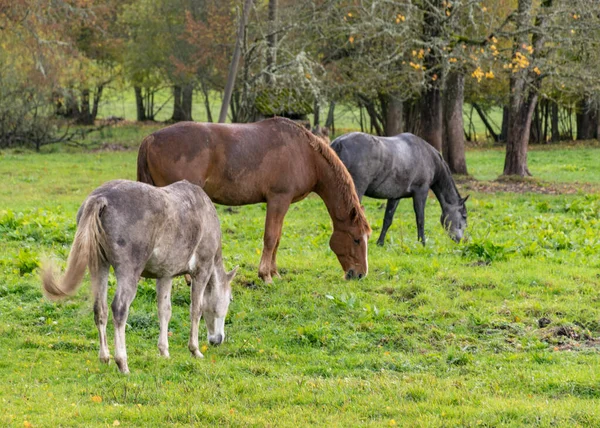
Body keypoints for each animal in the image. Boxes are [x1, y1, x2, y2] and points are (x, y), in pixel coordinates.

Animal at [39, 179, 236, 372]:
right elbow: (196, 310)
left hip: (100, 266)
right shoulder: (202, 271)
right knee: (119, 309)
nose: (217, 339)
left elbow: (164, 311)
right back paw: (122, 362)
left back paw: (105, 357)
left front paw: (164, 351)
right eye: (230, 299)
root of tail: (101, 198)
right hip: (128, 273)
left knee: (100, 309)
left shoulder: (165, 276)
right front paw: (195, 350)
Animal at [137, 117, 370, 284]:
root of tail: (151, 138)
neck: (305, 154)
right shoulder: (278, 199)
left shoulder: (281, 204)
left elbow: (277, 239)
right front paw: (265, 275)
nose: (360, 274)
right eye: (356, 239)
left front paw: (274, 273)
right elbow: (271, 237)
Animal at [332, 134, 468, 247]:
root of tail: (339, 143)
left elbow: (388, 219)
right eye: (464, 216)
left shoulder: (394, 197)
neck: (427, 156)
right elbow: (420, 219)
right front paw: (422, 243)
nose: (462, 240)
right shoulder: (421, 193)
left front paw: (380, 243)